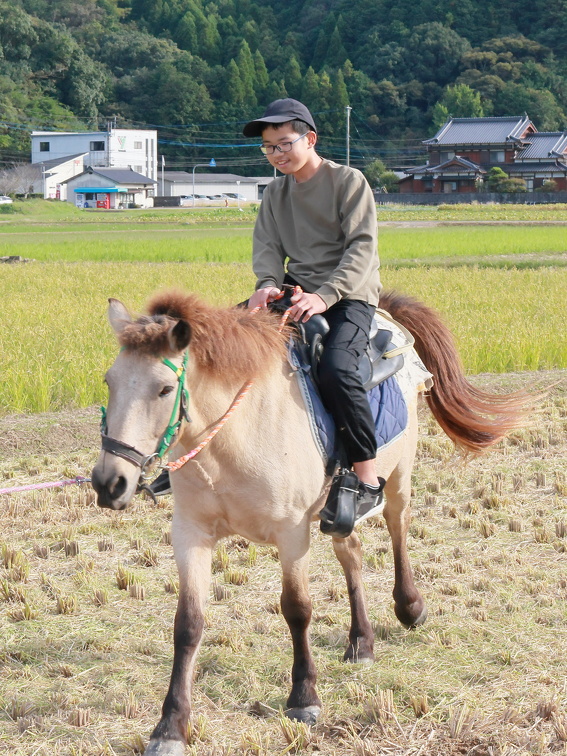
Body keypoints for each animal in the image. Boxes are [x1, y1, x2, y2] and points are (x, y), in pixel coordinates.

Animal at [91, 289, 530, 756]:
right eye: (109, 381)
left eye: (165, 388)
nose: (109, 482)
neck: (233, 436)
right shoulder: (191, 533)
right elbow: (188, 624)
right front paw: (171, 726)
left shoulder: (292, 533)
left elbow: (297, 609)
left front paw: (303, 697)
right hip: (337, 515)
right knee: (351, 553)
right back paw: (361, 641)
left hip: (399, 478)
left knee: (398, 530)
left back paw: (409, 606)